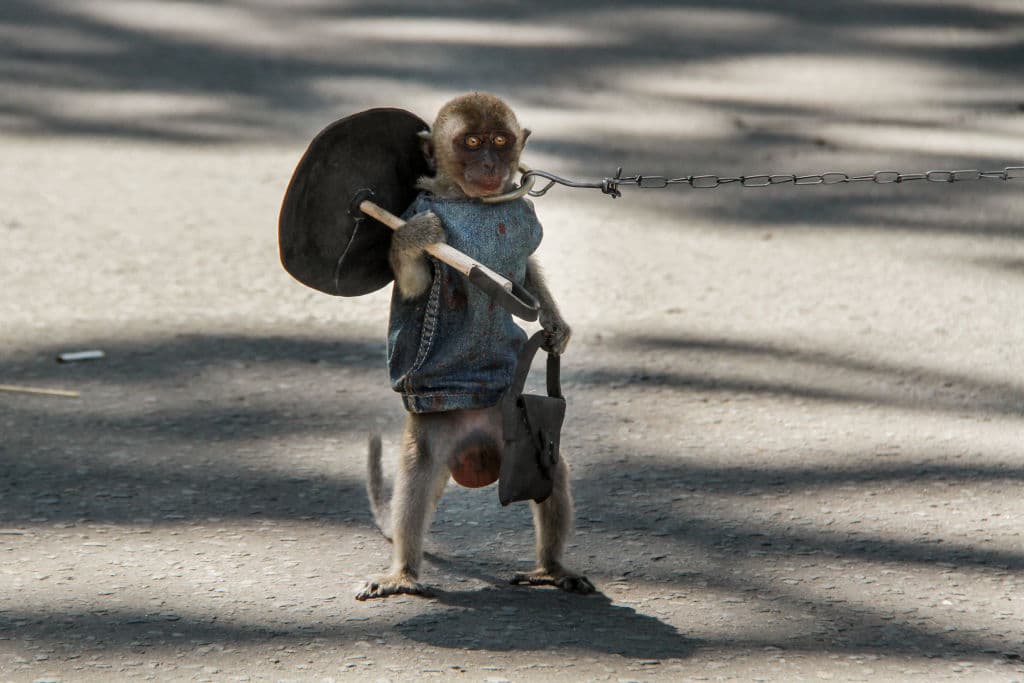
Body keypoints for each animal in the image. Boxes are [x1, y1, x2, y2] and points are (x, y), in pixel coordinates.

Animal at [355, 92, 593, 600]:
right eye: (470, 142)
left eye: (500, 142)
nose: (488, 164)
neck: (471, 200)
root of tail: (480, 443)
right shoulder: (418, 212)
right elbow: (417, 284)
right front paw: (411, 242)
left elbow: (525, 269)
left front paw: (555, 323)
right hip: (440, 430)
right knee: (419, 471)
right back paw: (403, 572)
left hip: (518, 431)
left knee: (553, 471)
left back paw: (552, 568)